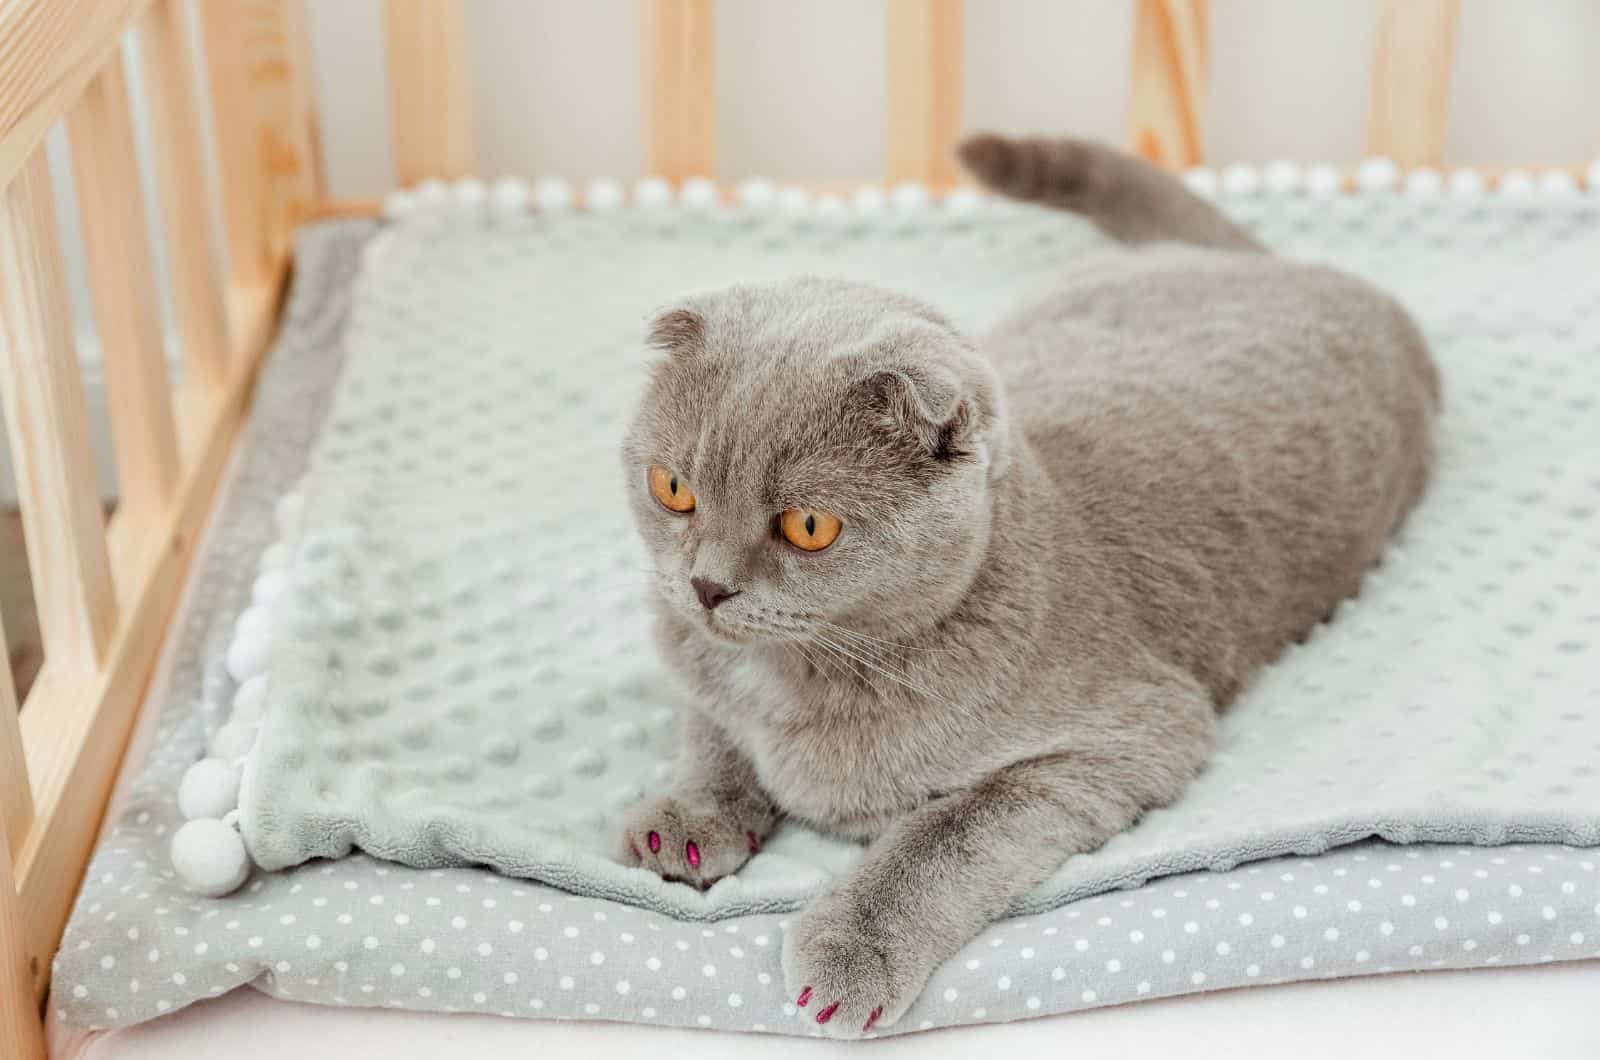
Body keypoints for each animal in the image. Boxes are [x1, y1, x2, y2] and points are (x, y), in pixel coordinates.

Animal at [614, 136, 1440, 1043]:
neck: (794, 675)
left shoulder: (1134, 732)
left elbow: (945, 834)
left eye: (808, 527)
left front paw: (852, 946)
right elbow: (711, 728)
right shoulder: (696, 659)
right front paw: (688, 819)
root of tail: (1276, 263)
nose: (706, 585)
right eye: (673, 488)